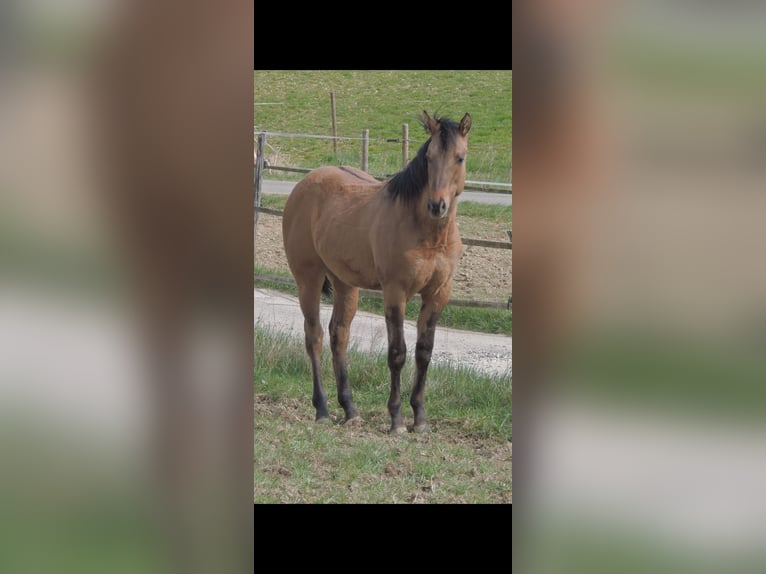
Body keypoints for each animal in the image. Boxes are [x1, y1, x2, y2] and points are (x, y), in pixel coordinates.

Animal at [282, 110, 472, 434]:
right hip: (308, 279)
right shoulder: (395, 292)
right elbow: (397, 353)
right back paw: (322, 409)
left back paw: (350, 409)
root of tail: (303, 184)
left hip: (345, 283)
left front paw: (420, 419)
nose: (437, 205)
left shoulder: (438, 293)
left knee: (339, 335)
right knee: (314, 336)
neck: (427, 233)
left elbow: (424, 352)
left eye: (459, 157)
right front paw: (396, 420)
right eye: (429, 157)